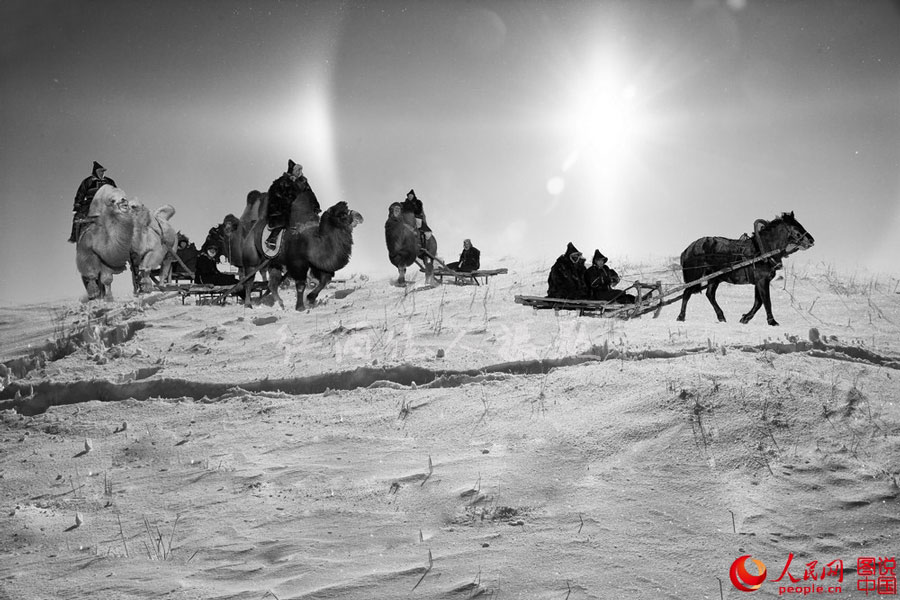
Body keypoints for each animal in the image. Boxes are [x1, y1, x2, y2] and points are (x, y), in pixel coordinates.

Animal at [676, 213, 816, 326]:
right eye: (796, 227)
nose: (811, 240)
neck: (762, 250)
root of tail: (688, 249)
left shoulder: (760, 282)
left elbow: (758, 302)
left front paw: (745, 318)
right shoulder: (762, 281)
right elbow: (766, 301)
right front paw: (772, 322)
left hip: (715, 278)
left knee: (710, 294)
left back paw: (721, 317)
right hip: (694, 275)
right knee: (687, 293)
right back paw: (681, 317)